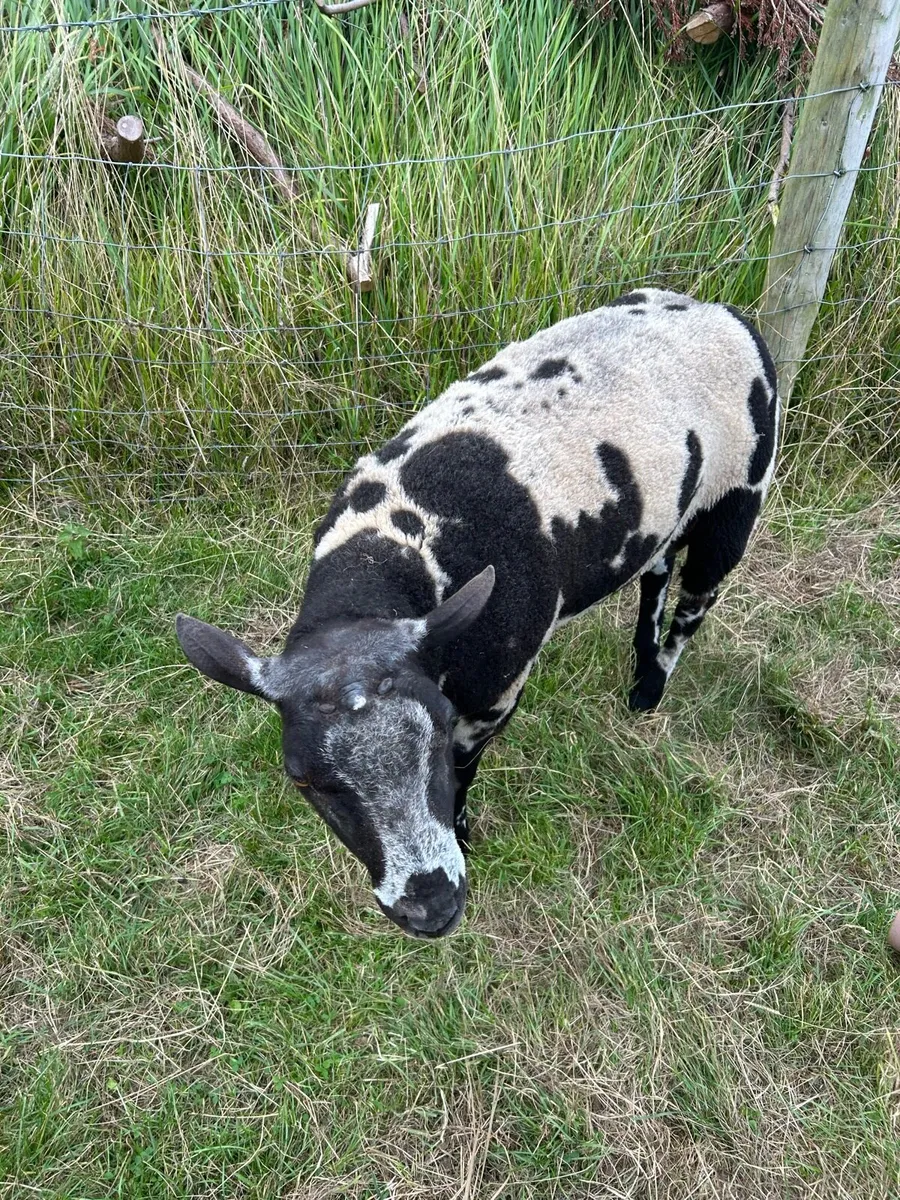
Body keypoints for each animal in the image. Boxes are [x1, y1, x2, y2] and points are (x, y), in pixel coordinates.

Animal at [176, 287, 778, 938]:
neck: (390, 548)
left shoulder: (493, 696)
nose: (431, 909)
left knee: (697, 599)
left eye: (439, 735)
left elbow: (465, 772)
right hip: (669, 508)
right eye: (303, 779)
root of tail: (719, 309)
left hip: (740, 490)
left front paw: (464, 835)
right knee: (657, 572)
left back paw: (652, 686)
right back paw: (642, 668)